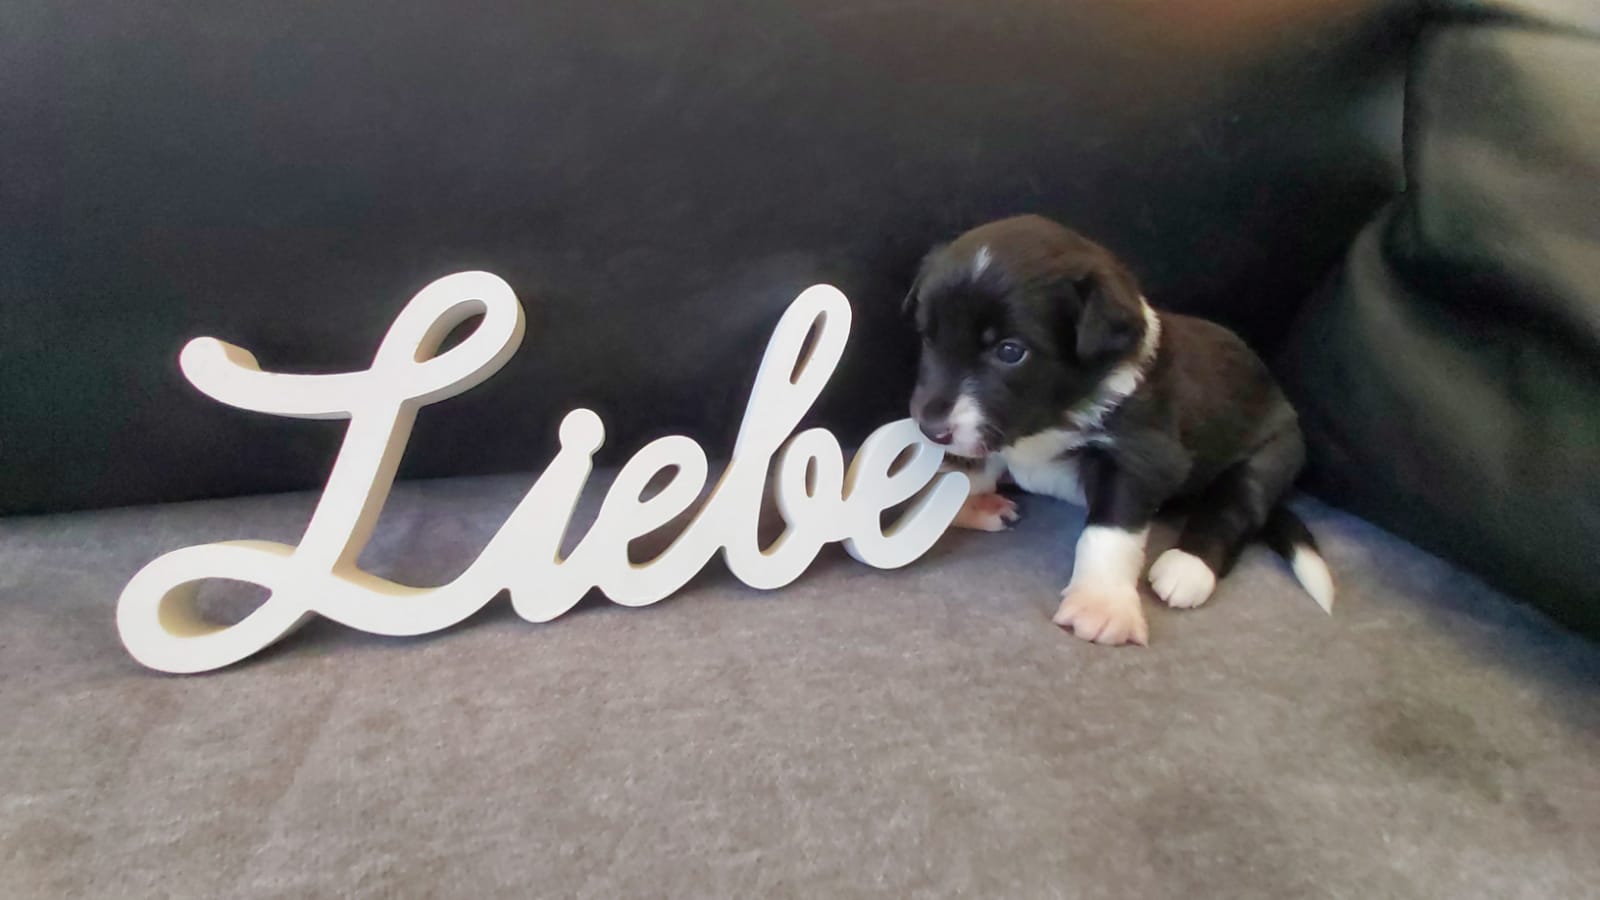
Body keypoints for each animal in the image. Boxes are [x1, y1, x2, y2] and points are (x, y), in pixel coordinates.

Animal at [906, 215, 1334, 645]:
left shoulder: (1139, 455)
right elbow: (968, 469)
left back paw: (1189, 567)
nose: (930, 430)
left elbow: (1110, 531)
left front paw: (1101, 605)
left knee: (1236, 506)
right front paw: (956, 504)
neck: (1053, 416)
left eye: (1010, 351)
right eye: (928, 337)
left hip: (1272, 453)